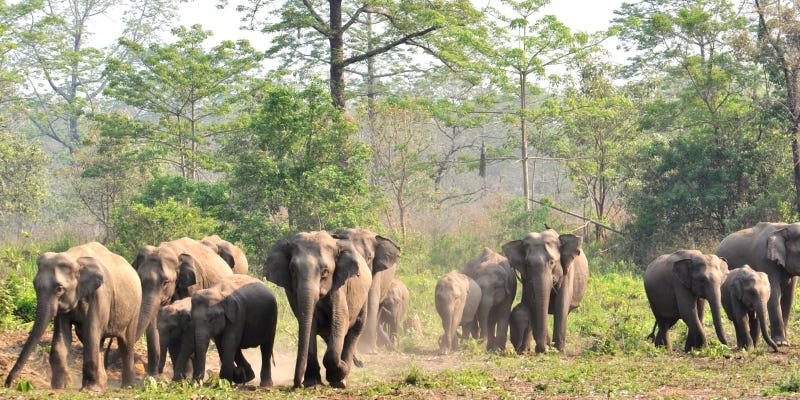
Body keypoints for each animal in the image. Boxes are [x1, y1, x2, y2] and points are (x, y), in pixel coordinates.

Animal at [3, 242, 141, 392]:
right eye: (35, 285)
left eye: (59, 289)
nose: (8, 384)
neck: (75, 259)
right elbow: (62, 337)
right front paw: (58, 387)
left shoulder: (101, 295)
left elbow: (91, 333)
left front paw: (90, 389)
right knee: (97, 341)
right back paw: (103, 384)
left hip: (135, 307)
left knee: (125, 343)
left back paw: (127, 386)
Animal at [266, 230, 372, 390]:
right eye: (292, 270)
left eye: (325, 272)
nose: (297, 385)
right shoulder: (293, 292)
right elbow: (310, 323)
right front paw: (312, 384)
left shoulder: (339, 285)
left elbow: (340, 319)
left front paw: (338, 374)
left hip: (364, 297)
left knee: (355, 328)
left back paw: (342, 380)